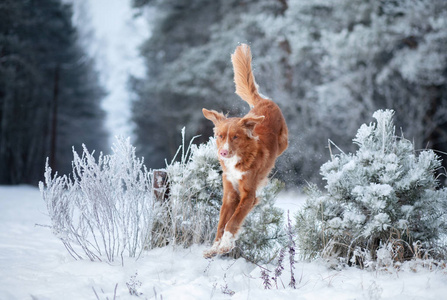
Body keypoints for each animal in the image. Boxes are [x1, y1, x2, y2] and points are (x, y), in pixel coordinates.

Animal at [202, 42, 288, 258]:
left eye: (236, 137)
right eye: (220, 136)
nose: (223, 153)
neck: (237, 161)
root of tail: (263, 101)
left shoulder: (249, 195)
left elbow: (232, 222)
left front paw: (225, 245)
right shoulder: (229, 192)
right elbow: (221, 224)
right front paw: (214, 248)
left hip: (284, 142)